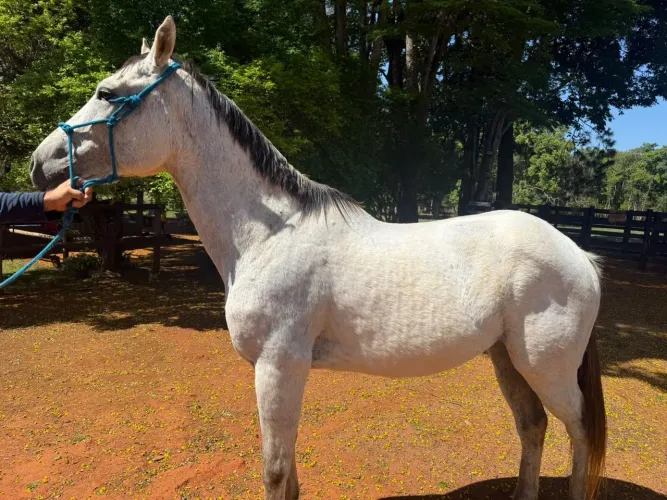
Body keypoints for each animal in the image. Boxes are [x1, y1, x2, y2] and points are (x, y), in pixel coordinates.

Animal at [29, 16, 606, 500]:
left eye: (107, 93)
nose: (40, 165)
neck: (267, 236)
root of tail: (578, 254)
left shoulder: (277, 366)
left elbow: (275, 473)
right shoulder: (285, 371)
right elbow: (290, 476)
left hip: (547, 367)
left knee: (580, 437)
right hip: (507, 358)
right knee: (534, 426)